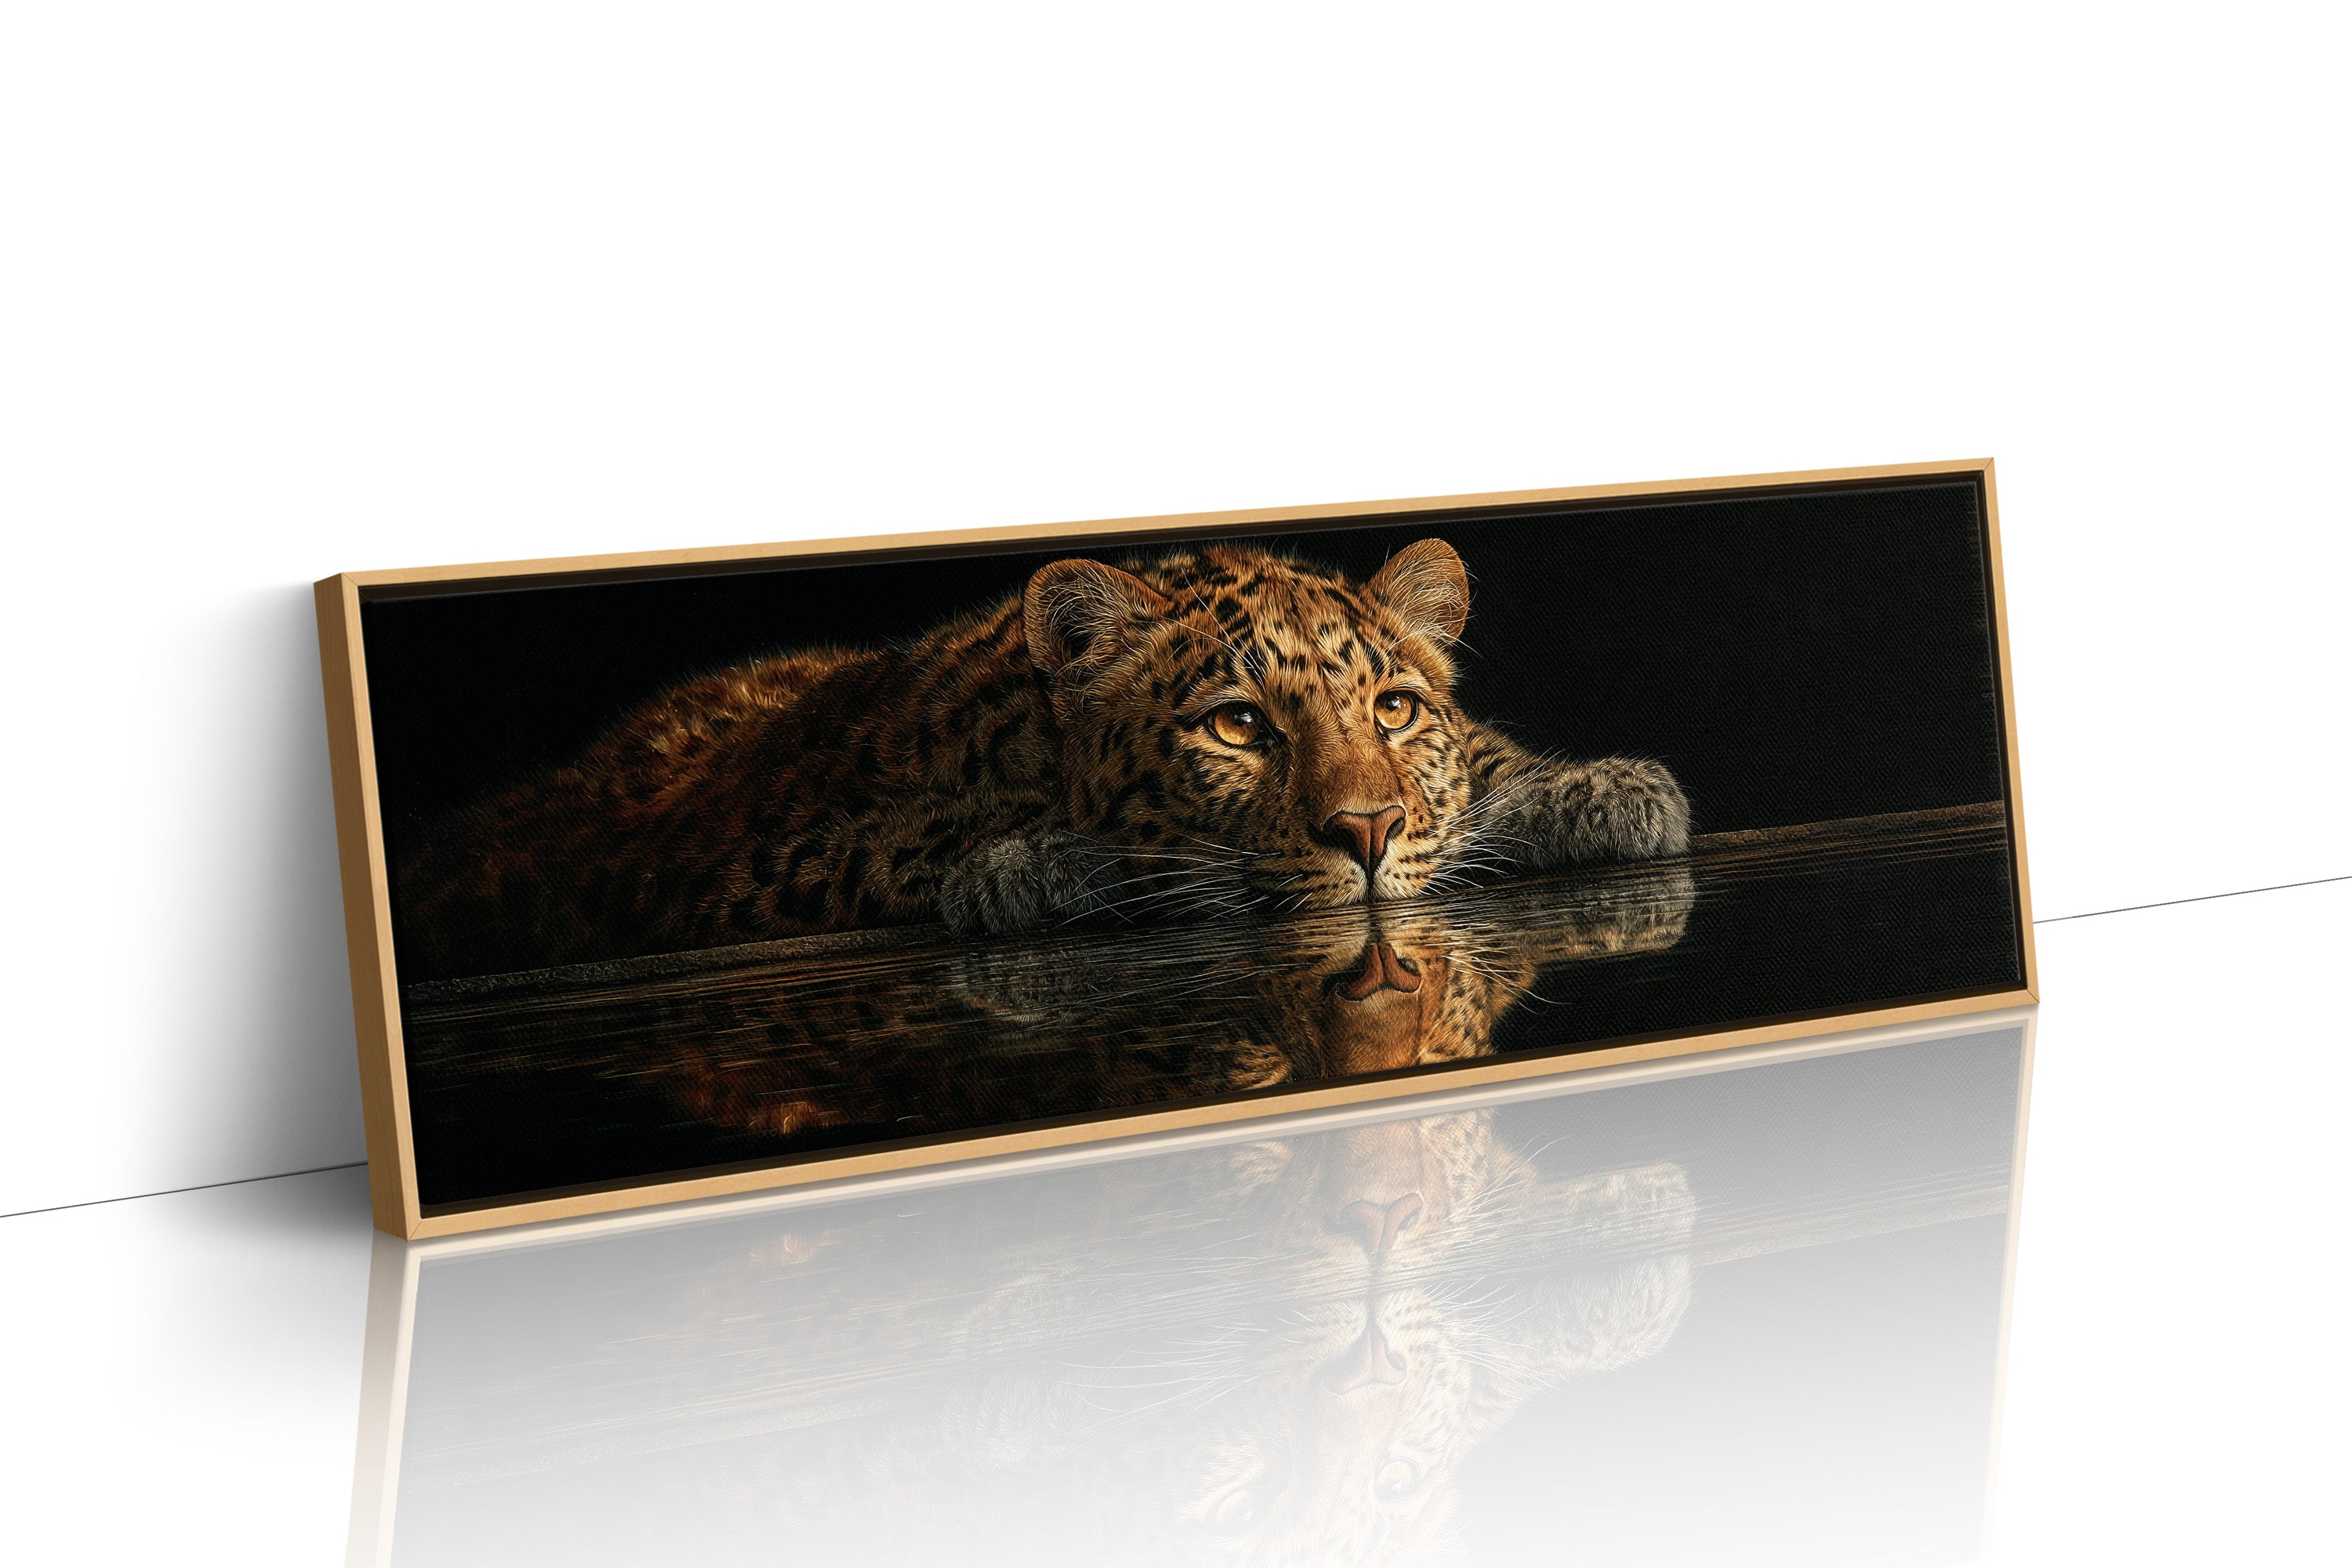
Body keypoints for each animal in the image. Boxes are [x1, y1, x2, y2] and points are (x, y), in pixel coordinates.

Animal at [393, 537, 1690, 980]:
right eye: (1237, 726)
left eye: (1396, 709)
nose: (1363, 832)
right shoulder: (757, 868)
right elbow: (919, 838)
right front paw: (1045, 866)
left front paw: (1603, 791)